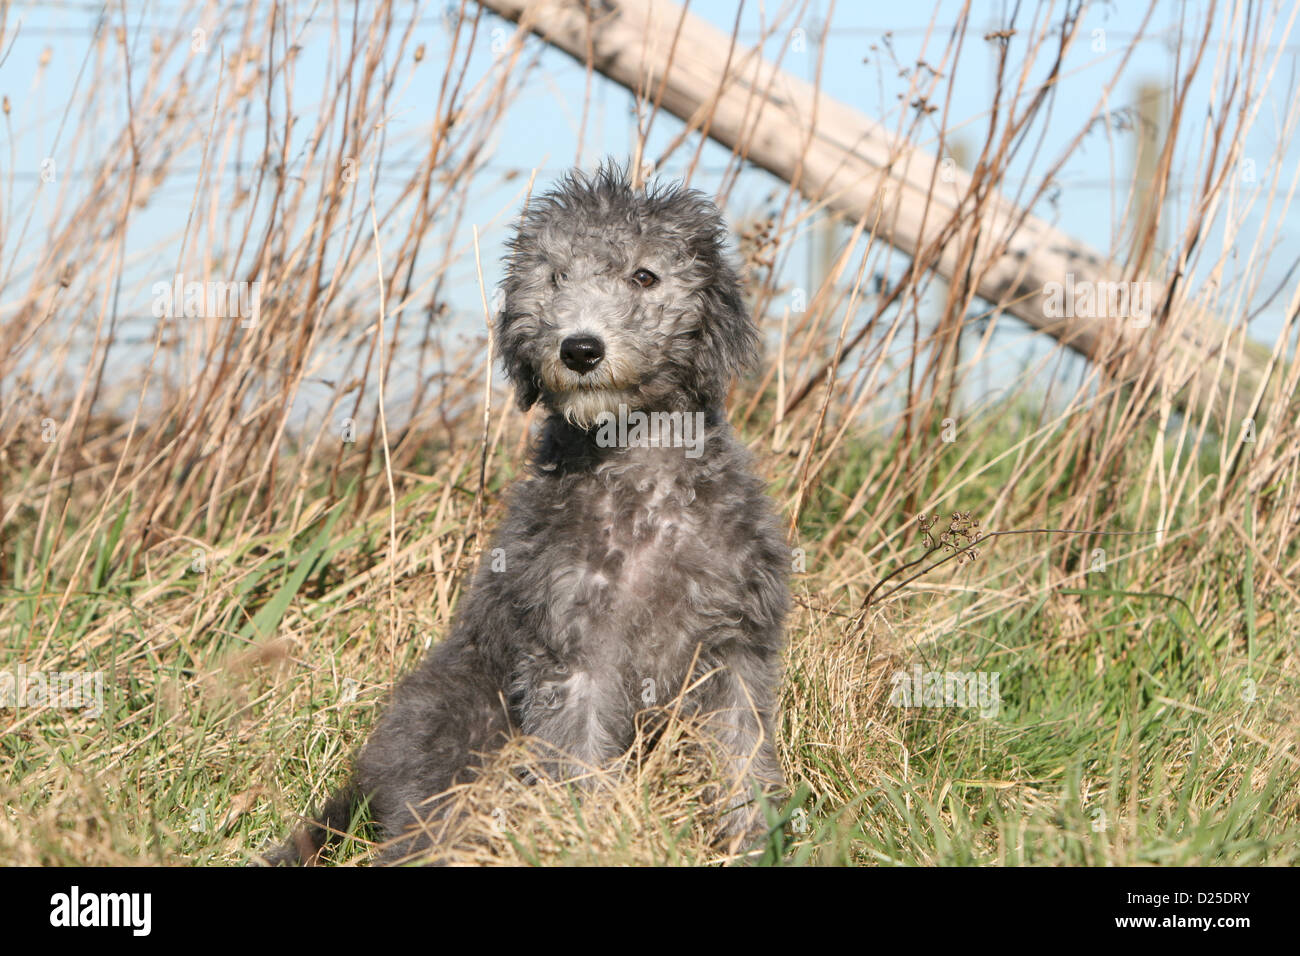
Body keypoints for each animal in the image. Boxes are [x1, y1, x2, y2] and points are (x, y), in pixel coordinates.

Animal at [269, 160, 785, 863]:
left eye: (645, 276)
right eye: (557, 276)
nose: (580, 349)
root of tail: (370, 780)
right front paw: (592, 840)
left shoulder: (737, 647)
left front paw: (754, 842)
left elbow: (743, 759)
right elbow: (580, 765)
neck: (641, 487)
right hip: (467, 726)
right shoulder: (572, 659)